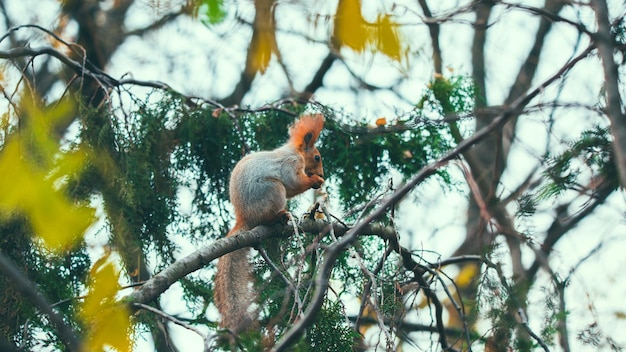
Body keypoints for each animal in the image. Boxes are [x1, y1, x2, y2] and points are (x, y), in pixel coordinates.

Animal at [213, 114, 324, 336]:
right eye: (317, 157)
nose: (323, 174)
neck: (295, 152)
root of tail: (244, 217)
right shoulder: (290, 164)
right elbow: (294, 182)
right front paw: (315, 180)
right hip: (274, 190)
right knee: (269, 213)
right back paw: (279, 217)